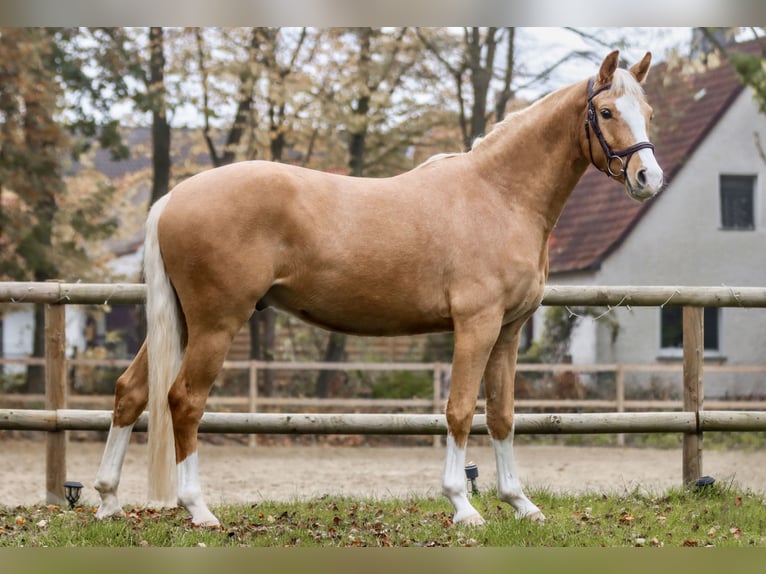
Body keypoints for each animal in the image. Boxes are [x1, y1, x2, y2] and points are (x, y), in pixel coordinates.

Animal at [93, 51, 664, 528]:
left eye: (649, 112)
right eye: (606, 112)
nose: (648, 178)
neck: (498, 194)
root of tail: (173, 198)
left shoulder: (508, 331)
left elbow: (501, 416)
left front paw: (520, 503)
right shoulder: (475, 326)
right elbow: (460, 410)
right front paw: (463, 507)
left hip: (183, 322)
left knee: (131, 392)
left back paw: (108, 500)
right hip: (216, 323)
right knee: (184, 400)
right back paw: (198, 510)